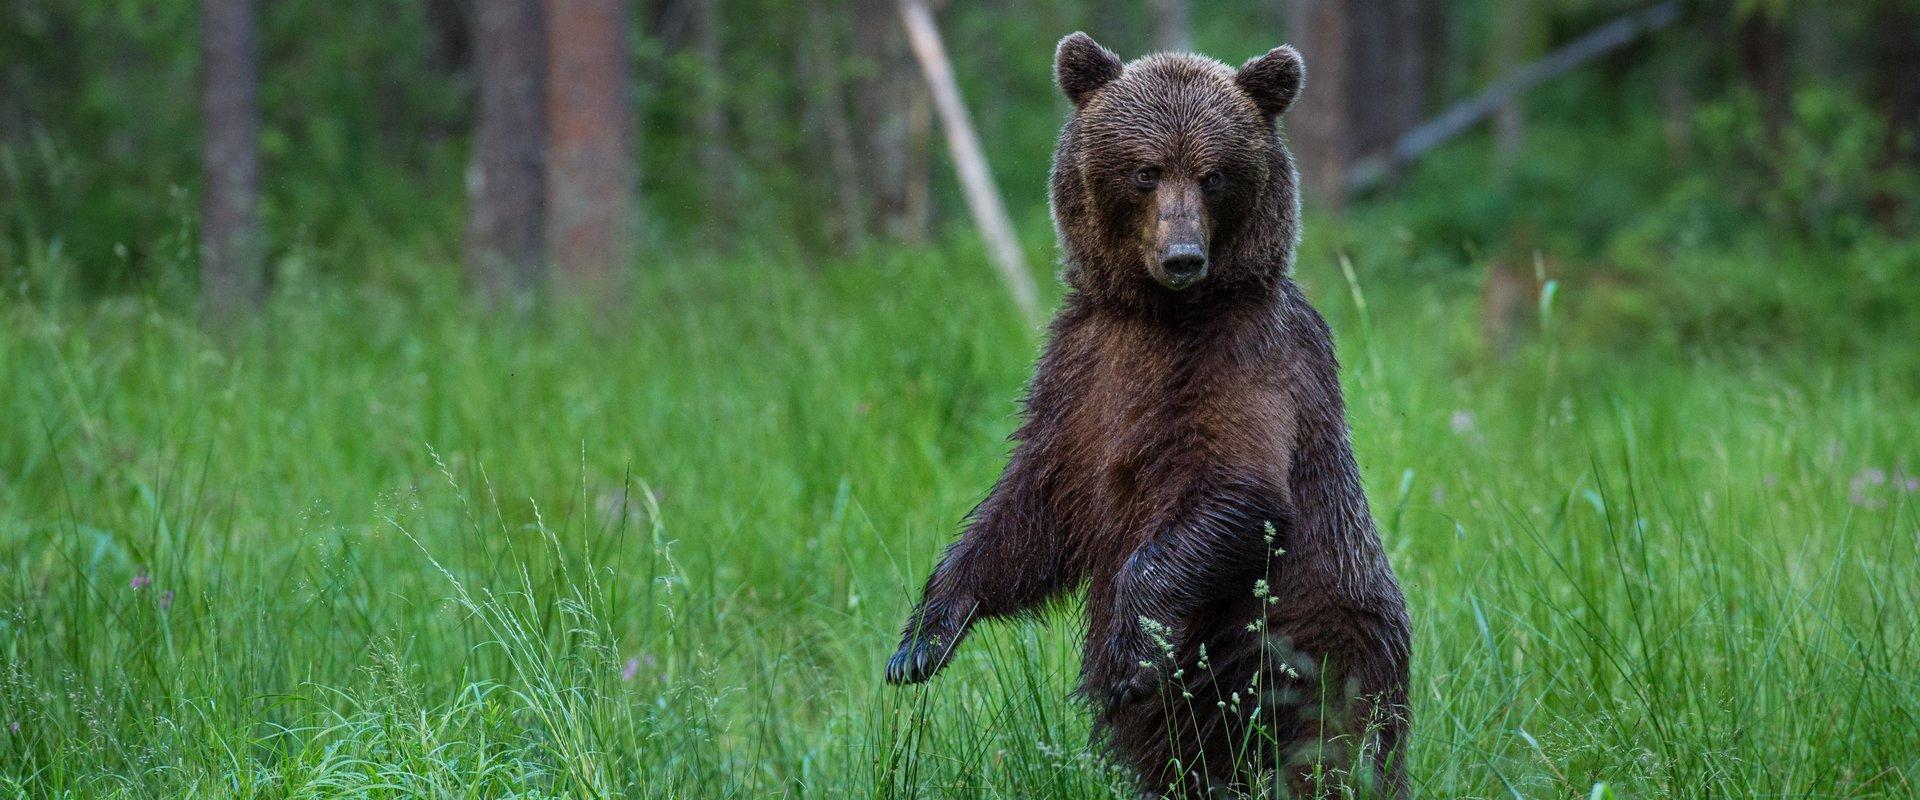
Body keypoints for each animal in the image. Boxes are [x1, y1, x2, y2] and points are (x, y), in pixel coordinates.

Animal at [883, 32, 1413, 798]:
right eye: (1145, 171)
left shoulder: (1248, 359)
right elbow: (1030, 510)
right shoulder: (1082, 373)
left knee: (1332, 748)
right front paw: (923, 639)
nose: (1183, 255)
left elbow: (1236, 488)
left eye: (1214, 175)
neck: (1160, 315)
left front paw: (1127, 655)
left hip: (1313, 646)